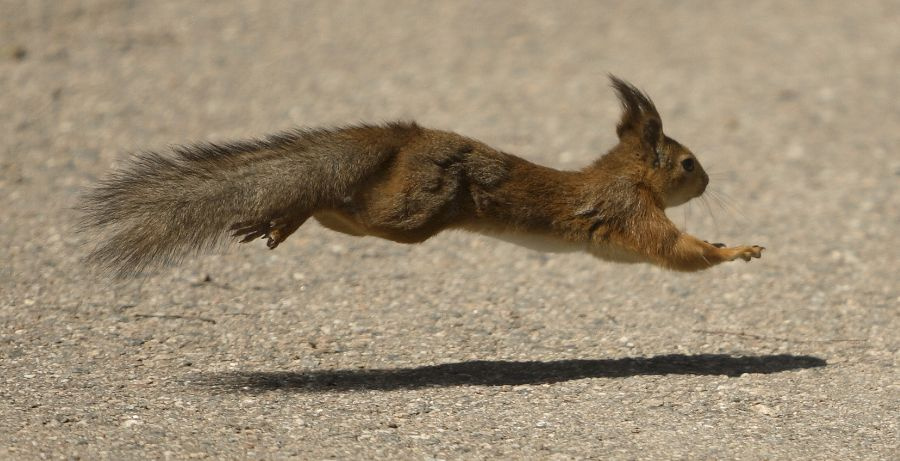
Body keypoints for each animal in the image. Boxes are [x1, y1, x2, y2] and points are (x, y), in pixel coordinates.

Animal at [80, 76, 763, 277]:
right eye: (688, 164)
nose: (707, 183)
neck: (628, 176)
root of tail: (405, 138)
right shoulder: (630, 210)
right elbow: (677, 252)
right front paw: (736, 249)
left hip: (400, 211)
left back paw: (278, 218)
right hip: (410, 213)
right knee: (337, 203)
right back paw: (284, 214)